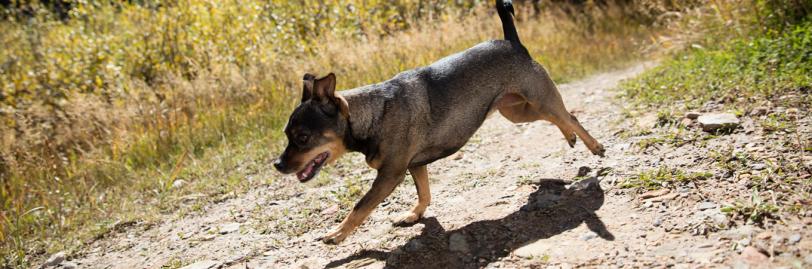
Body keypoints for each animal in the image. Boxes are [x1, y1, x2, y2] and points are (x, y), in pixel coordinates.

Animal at [272, 0, 604, 243]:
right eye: (287, 135)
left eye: (302, 138)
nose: (277, 165)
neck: (369, 114)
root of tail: (512, 41)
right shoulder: (415, 165)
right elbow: (424, 192)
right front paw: (414, 215)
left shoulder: (389, 175)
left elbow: (360, 206)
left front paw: (337, 234)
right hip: (517, 112)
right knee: (561, 118)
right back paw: (571, 139)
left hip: (538, 98)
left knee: (567, 114)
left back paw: (594, 146)